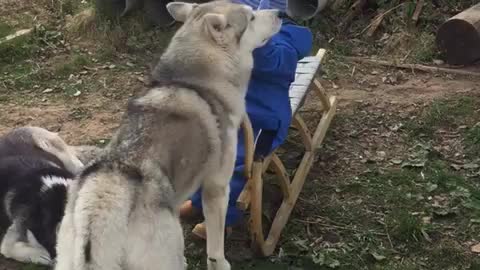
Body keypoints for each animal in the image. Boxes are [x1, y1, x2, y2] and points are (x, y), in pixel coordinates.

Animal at [54, 1, 282, 270]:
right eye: (251, 17)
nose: (281, 13)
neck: (196, 81)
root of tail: (100, 204)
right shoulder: (217, 187)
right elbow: (215, 248)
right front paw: (221, 262)